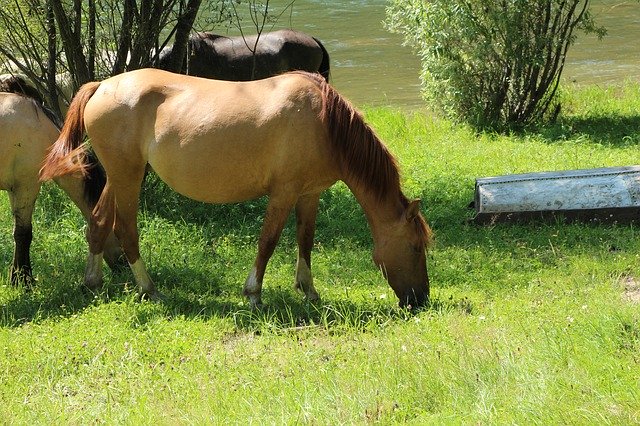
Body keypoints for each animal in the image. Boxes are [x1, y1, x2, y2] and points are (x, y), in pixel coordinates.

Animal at [38, 67, 430, 306]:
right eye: (415, 247)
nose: (420, 300)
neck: (323, 122)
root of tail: (102, 85)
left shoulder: (309, 193)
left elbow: (305, 240)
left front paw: (308, 290)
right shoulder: (284, 192)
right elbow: (268, 241)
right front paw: (253, 293)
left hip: (120, 177)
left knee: (98, 222)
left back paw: (93, 282)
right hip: (128, 177)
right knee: (125, 229)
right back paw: (149, 289)